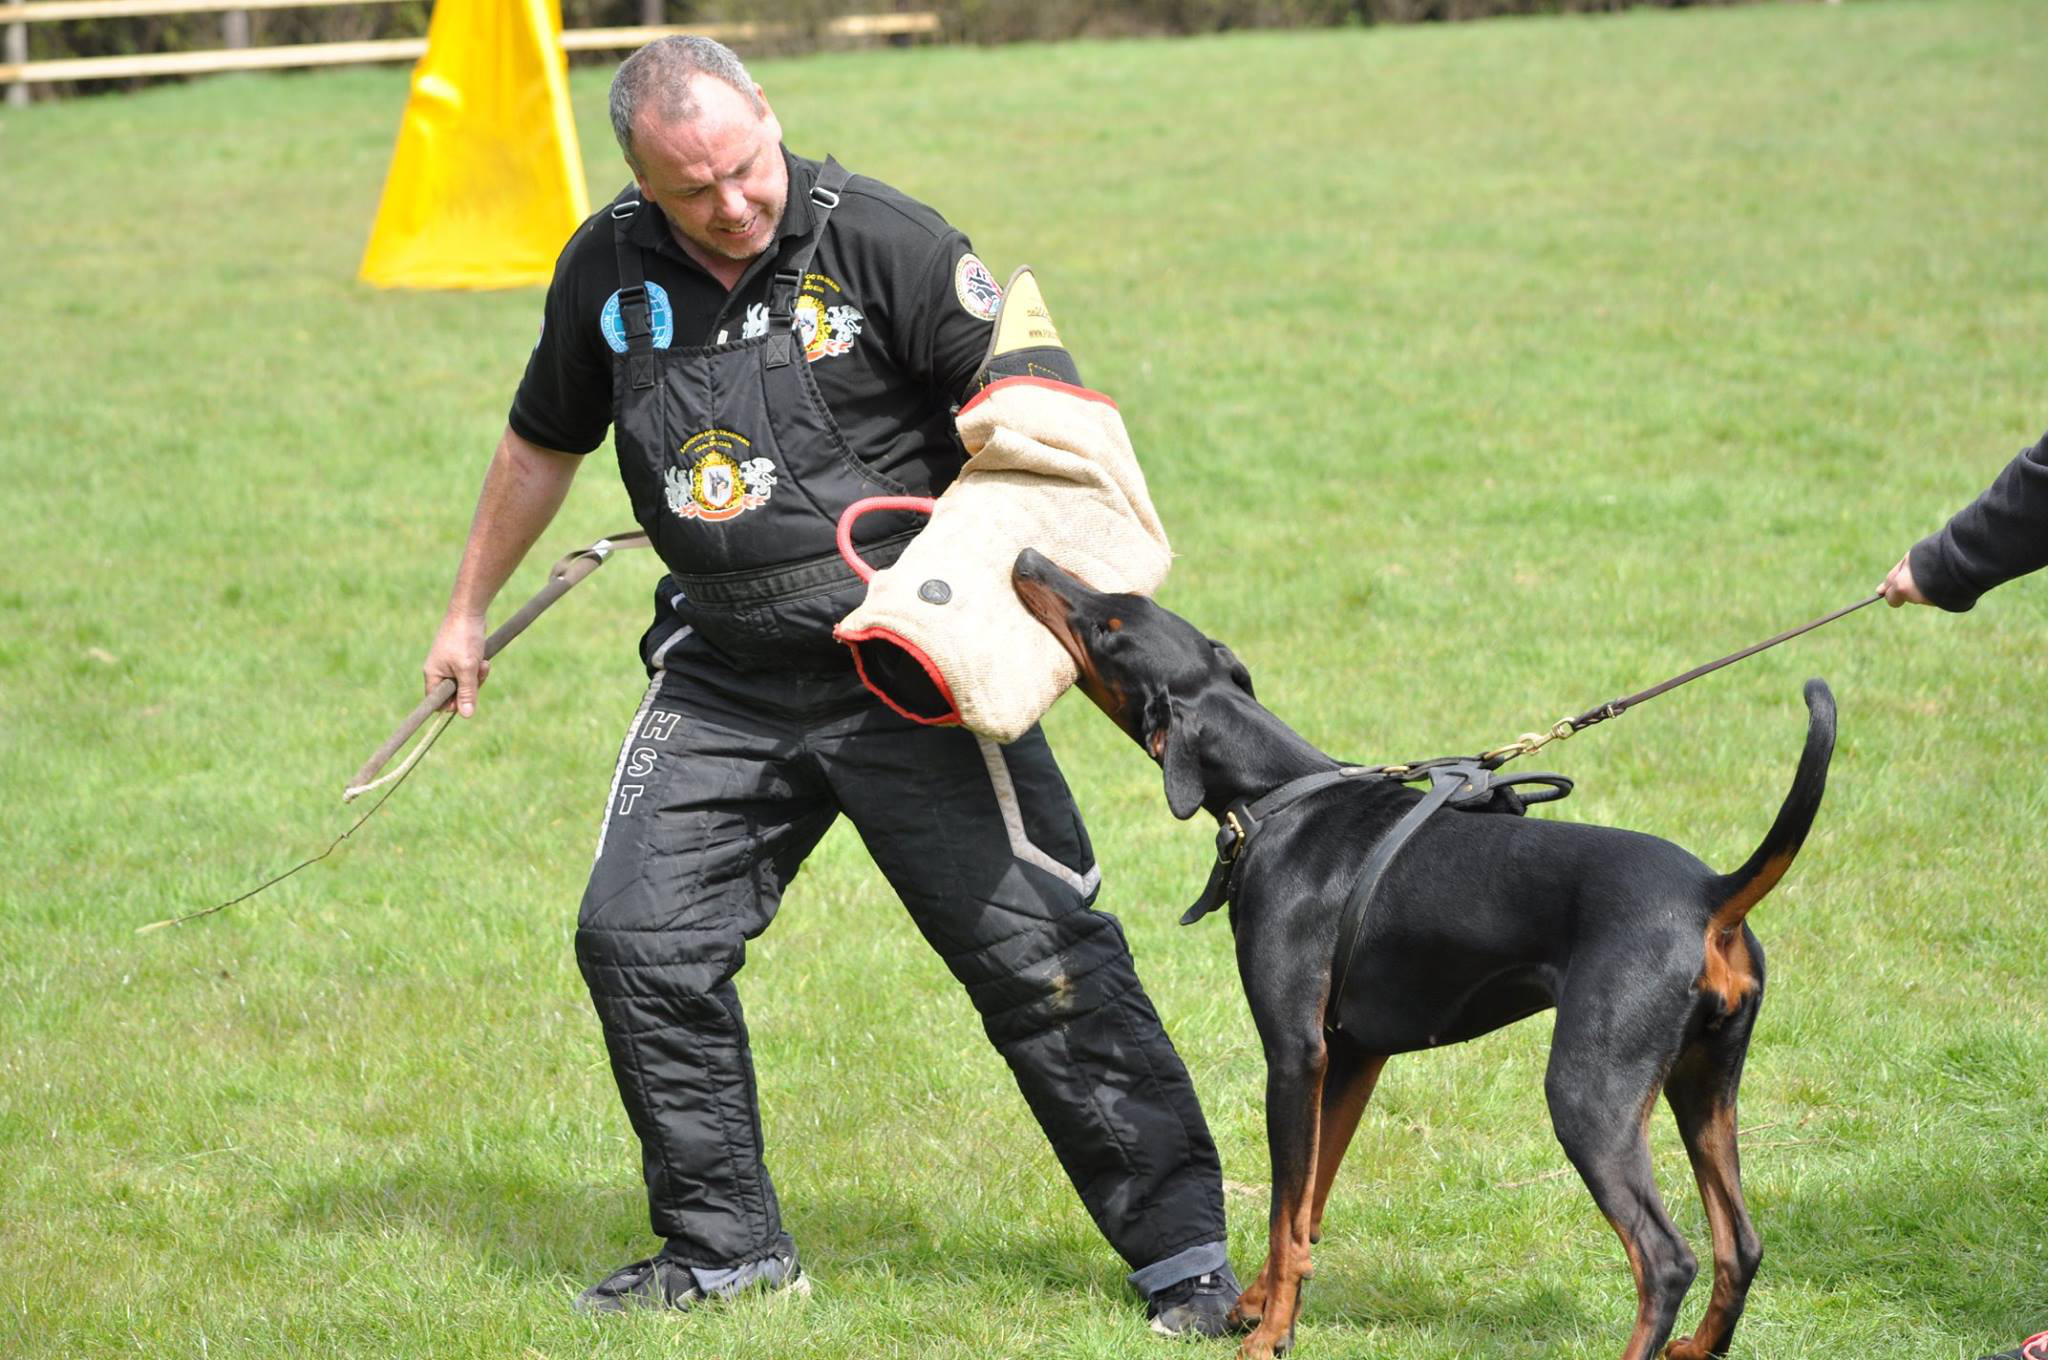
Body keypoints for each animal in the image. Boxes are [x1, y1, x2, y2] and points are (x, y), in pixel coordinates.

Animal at [1015, 548, 1835, 1360]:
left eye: (1108, 627)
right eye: (1119, 604)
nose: (1026, 559)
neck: (1283, 795)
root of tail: (1712, 894)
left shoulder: (1295, 1054)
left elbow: (1284, 1211)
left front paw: (1270, 1336)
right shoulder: (1352, 1056)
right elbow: (1307, 1206)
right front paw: (1258, 1308)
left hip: (1590, 1096)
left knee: (1666, 1258)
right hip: (1704, 1086)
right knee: (1740, 1245)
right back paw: (1698, 1346)